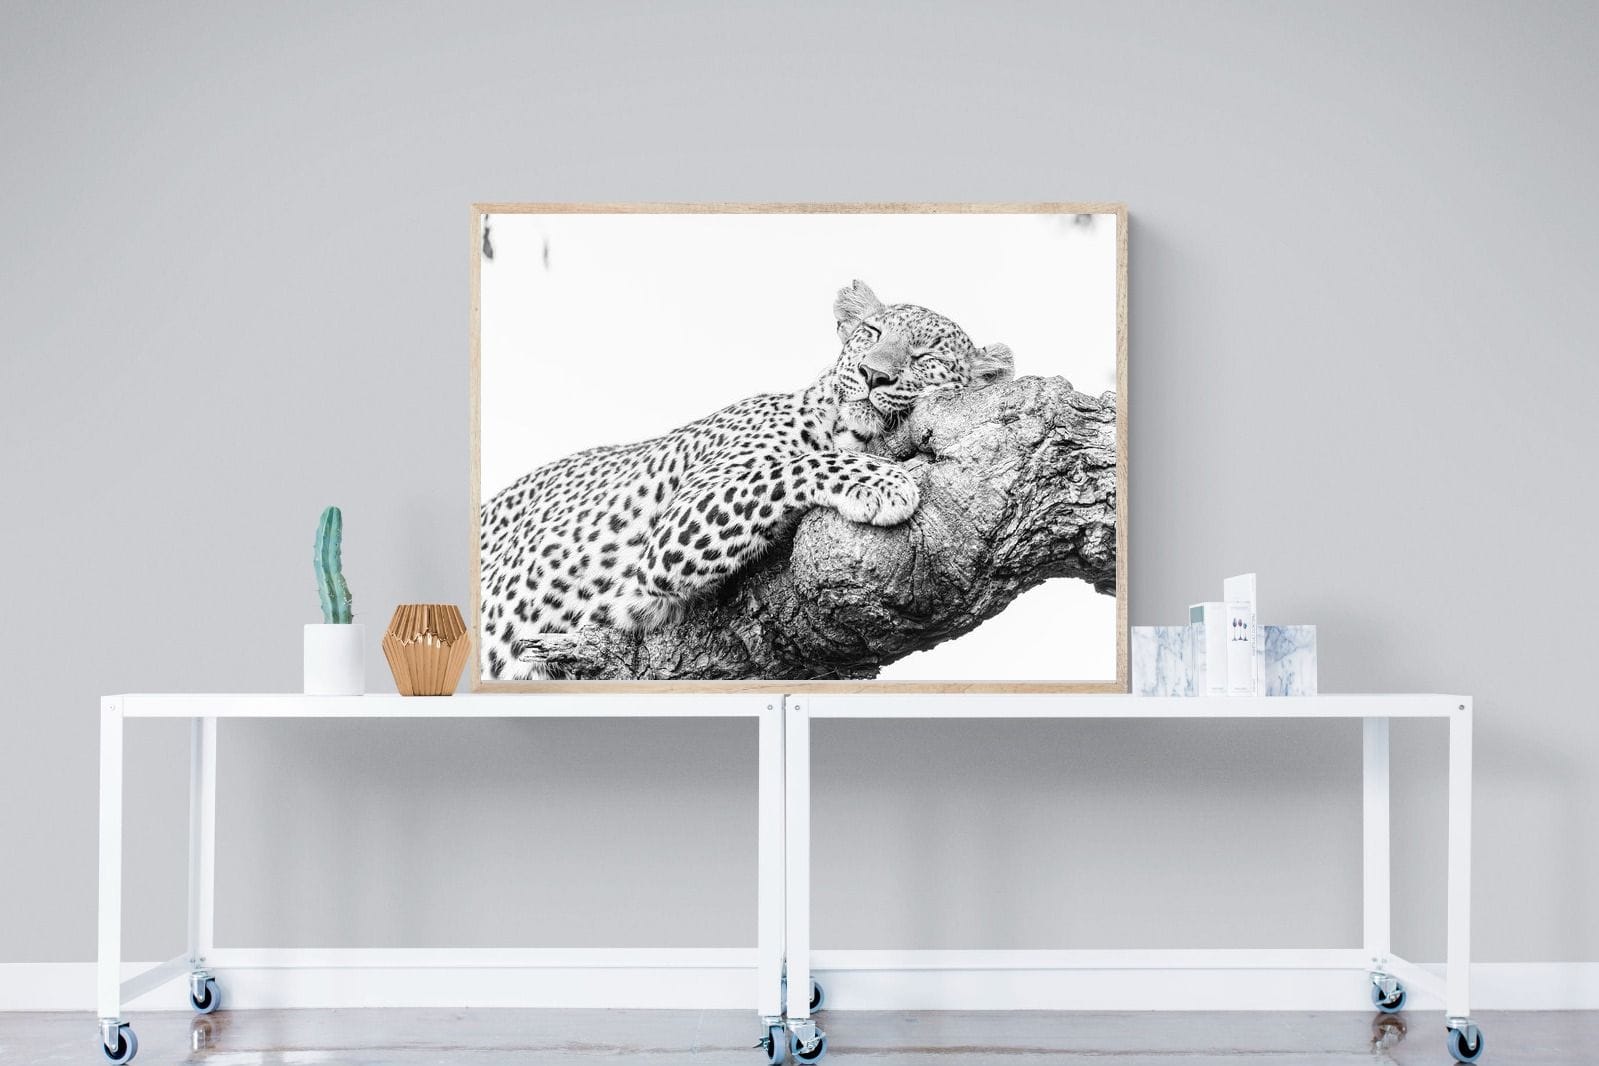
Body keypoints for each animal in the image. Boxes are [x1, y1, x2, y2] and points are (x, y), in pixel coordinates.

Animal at [478, 280, 1014, 680]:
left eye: (926, 357)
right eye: (871, 331)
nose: (872, 374)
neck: (842, 425)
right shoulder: (675, 529)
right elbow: (792, 466)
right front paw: (884, 481)